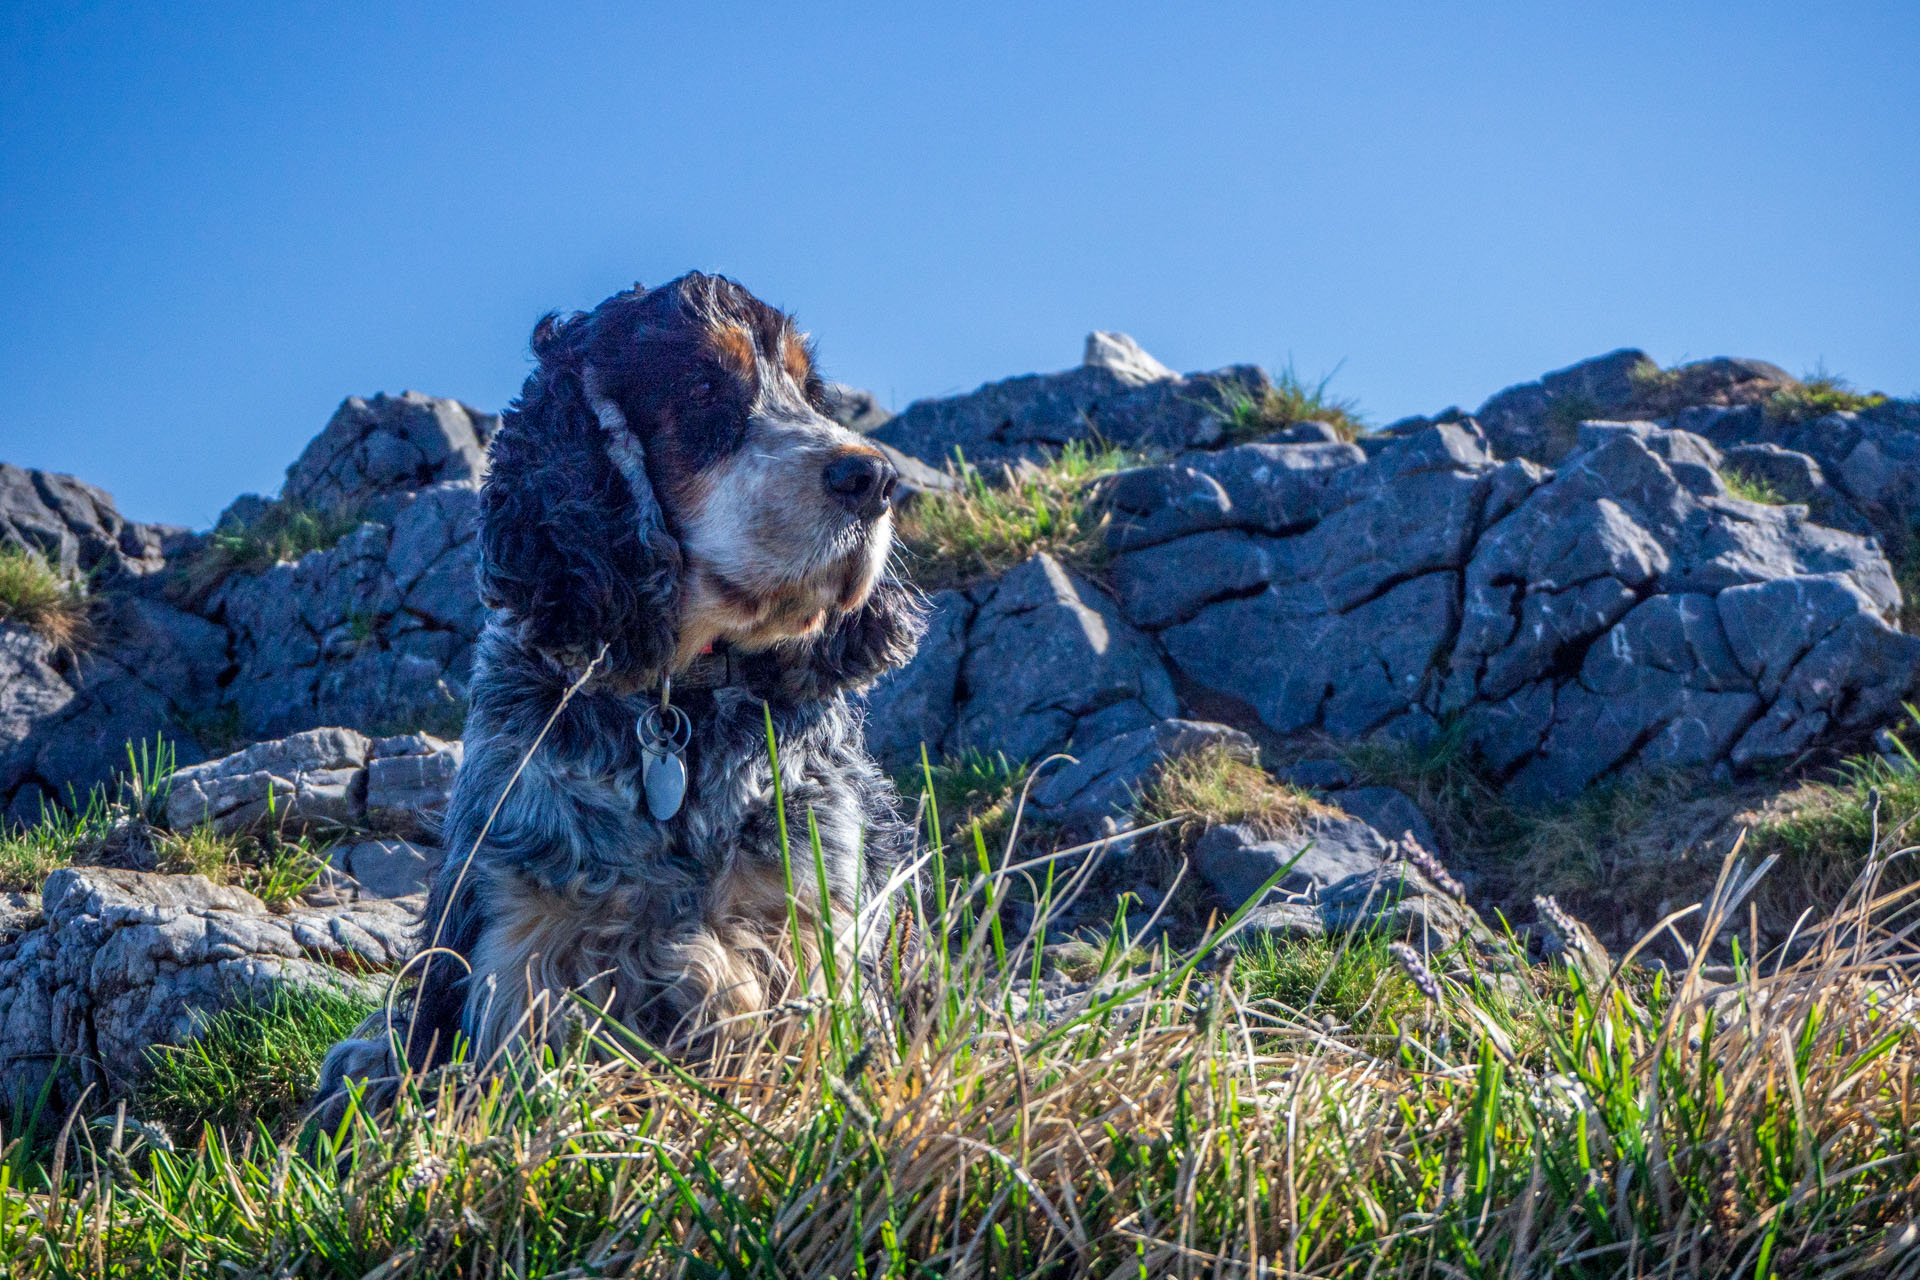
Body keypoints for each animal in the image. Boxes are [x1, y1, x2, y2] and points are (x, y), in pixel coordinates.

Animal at [318, 276, 925, 1097]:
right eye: (702, 389)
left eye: (808, 392)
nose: (877, 479)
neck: (676, 705)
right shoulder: (522, 936)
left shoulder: (807, 919)